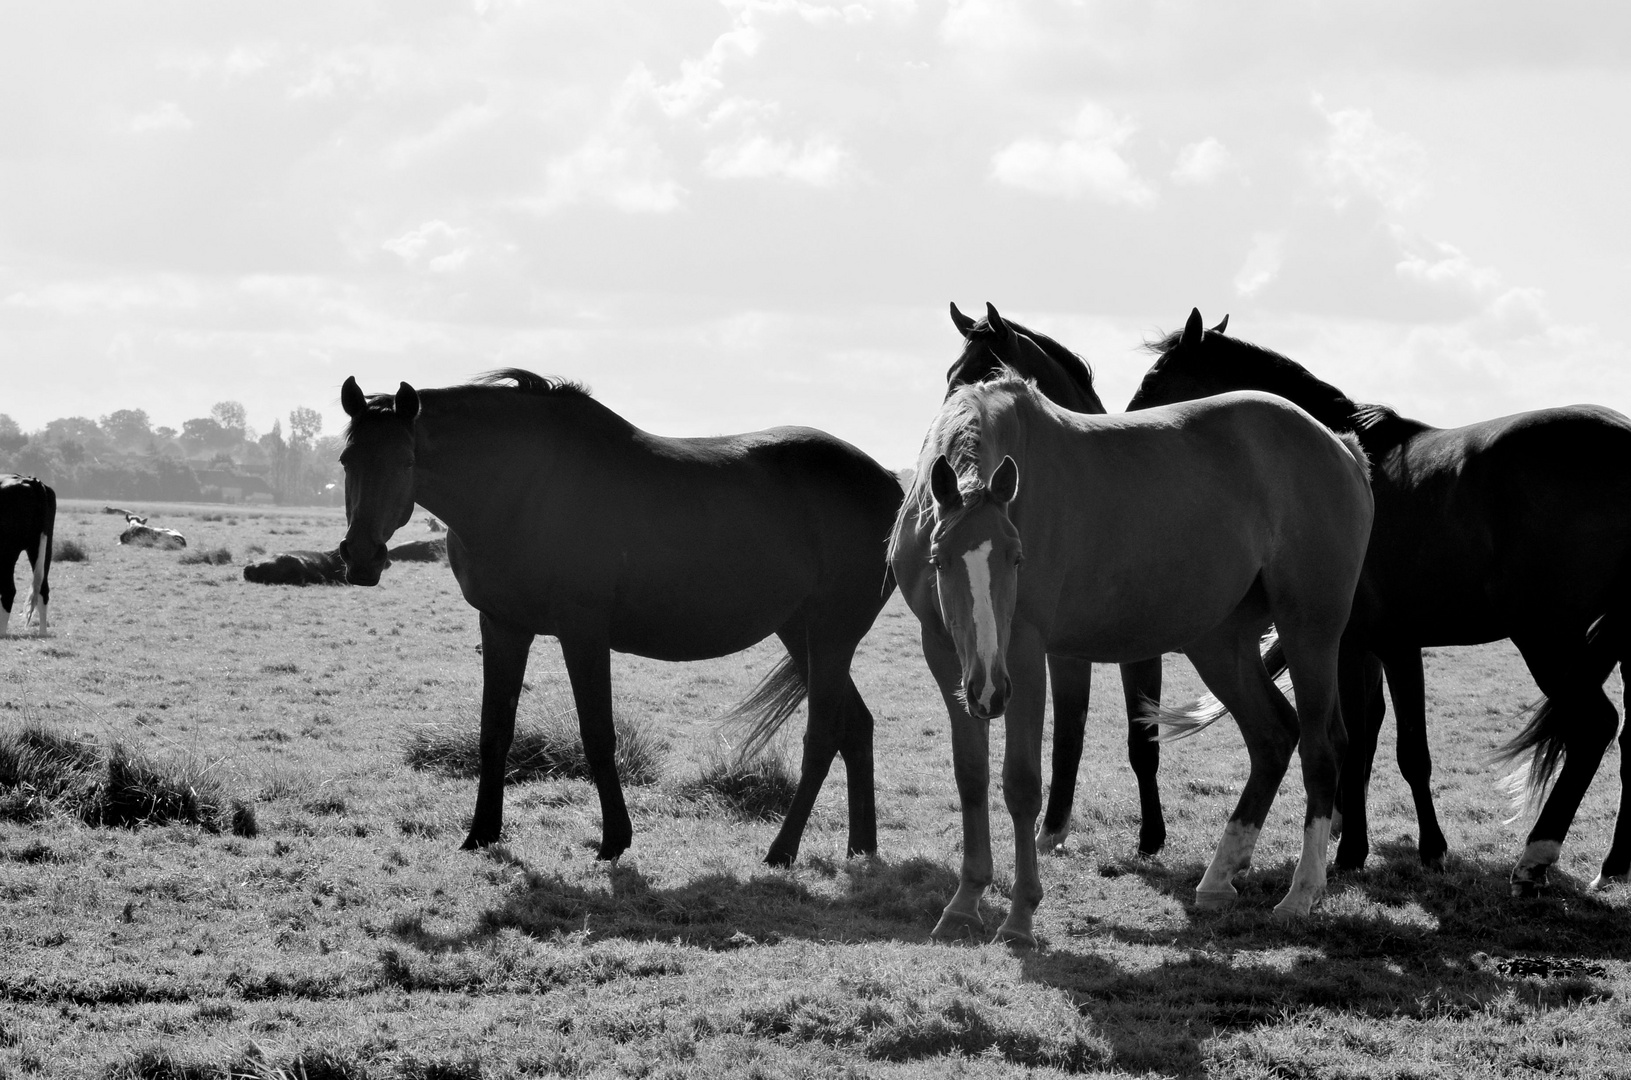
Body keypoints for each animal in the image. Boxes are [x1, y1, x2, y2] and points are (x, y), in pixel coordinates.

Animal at [0, 473, 55, 636]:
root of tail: (30, 480)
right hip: (42, 548)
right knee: (44, 589)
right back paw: (42, 633)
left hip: (8, 553)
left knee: (9, 590)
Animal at [337, 376, 900, 867]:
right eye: (347, 460)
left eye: (407, 459)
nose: (361, 557)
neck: (523, 488)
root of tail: (893, 485)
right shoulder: (502, 626)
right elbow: (494, 730)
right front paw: (481, 834)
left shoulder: (583, 631)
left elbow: (597, 733)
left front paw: (614, 841)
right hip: (801, 633)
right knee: (856, 728)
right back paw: (861, 848)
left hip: (831, 634)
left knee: (824, 735)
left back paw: (782, 851)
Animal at [945, 300, 1200, 861]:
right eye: (950, 379)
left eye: (987, 375)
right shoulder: (1062, 651)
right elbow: (1068, 732)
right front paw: (1052, 829)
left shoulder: (1139, 650)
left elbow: (1141, 739)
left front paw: (1151, 836)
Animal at [1128, 313, 1631, 894]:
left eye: (1155, 381)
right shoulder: (1381, 646)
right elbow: (1378, 742)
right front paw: (1380, 842)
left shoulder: (1360, 645)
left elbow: (1374, 744)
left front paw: (1365, 850)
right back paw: (1612, 864)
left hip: (1546, 634)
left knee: (1594, 726)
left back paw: (1535, 858)